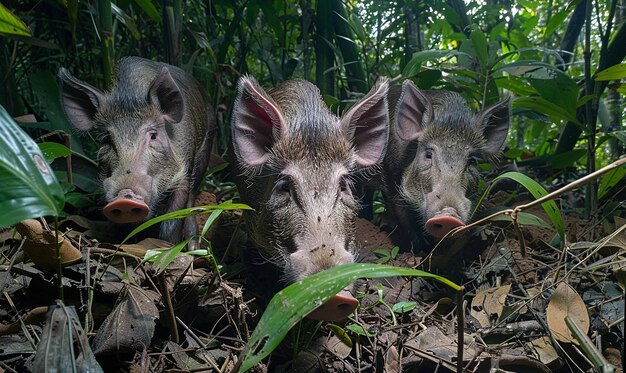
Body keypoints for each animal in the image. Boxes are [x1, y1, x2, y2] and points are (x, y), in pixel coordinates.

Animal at [58, 56, 214, 247]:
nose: (125, 196)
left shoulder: (185, 168)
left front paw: (169, 247)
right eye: (106, 139)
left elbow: (173, 218)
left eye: (153, 135)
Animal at [380, 80, 508, 248]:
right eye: (428, 154)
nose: (449, 215)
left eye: (472, 161)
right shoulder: (391, 177)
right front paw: (421, 247)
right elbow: (403, 217)